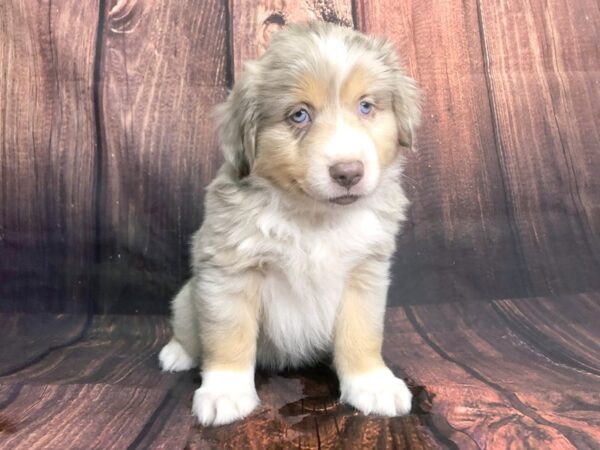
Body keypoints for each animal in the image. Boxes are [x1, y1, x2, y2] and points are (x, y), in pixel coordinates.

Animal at [159, 21, 422, 428]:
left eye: (365, 106)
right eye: (299, 115)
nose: (348, 172)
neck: (313, 216)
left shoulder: (364, 274)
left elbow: (362, 334)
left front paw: (372, 383)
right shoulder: (229, 274)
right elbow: (229, 336)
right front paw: (225, 392)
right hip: (188, 297)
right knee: (189, 330)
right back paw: (177, 353)